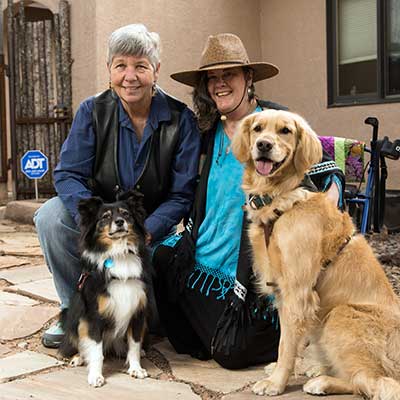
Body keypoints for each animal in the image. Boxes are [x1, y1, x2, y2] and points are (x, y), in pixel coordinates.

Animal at [59, 191, 152, 388]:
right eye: (105, 217)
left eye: (126, 214)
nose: (120, 222)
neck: (120, 253)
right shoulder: (94, 316)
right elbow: (96, 351)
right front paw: (95, 376)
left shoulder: (138, 312)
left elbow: (134, 344)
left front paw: (136, 368)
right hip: (74, 314)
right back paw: (78, 357)